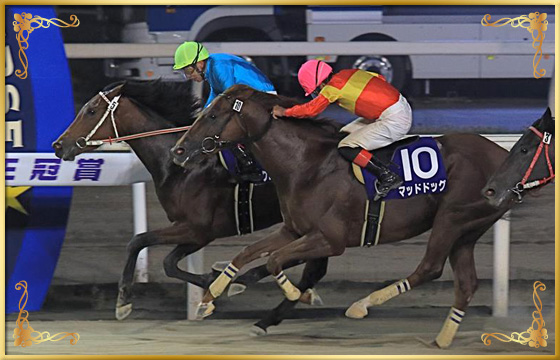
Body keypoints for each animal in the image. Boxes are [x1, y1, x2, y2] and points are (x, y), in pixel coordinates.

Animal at [52, 81, 304, 320]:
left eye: (91, 110)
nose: (59, 145)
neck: (178, 167)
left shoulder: (197, 228)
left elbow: (137, 241)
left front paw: (123, 302)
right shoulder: (196, 232)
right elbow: (169, 263)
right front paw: (212, 279)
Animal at [174, 83, 512, 346]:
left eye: (213, 115)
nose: (179, 150)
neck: (306, 164)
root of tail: (502, 154)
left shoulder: (329, 239)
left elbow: (274, 262)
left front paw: (298, 295)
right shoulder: (294, 230)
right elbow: (246, 253)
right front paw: (212, 297)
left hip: (451, 218)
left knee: (430, 268)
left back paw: (362, 305)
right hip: (468, 229)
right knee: (466, 284)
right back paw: (443, 338)